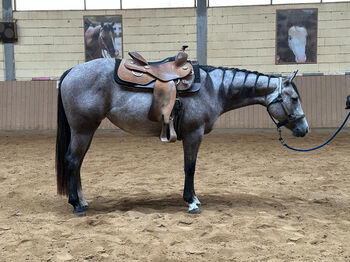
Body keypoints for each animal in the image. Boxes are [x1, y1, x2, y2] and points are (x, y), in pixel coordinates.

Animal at [55, 57, 308, 215]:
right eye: (295, 98)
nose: (304, 129)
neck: (212, 87)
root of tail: (71, 72)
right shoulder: (194, 134)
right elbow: (190, 167)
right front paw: (192, 201)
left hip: (87, 131)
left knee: (77, 163)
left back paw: (82, 201)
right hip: (83, 129)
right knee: (72, 161)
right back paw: (76, 205)